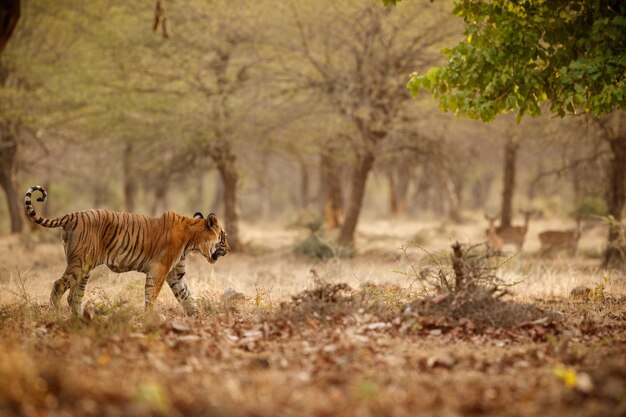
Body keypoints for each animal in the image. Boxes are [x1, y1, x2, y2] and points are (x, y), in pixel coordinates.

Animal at [25, 185, 229, 316]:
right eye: (223, 236)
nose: (229, 248)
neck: (192, 241)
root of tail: (72, 215)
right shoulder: (159, 269)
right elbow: (151, 296)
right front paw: (150, 318)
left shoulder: (175, 274)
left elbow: (187, 296)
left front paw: (197, 318)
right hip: (80, 263)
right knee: (59, 285)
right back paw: (54, 315)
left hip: (84, 268)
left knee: (74, 296)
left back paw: (81, 320)